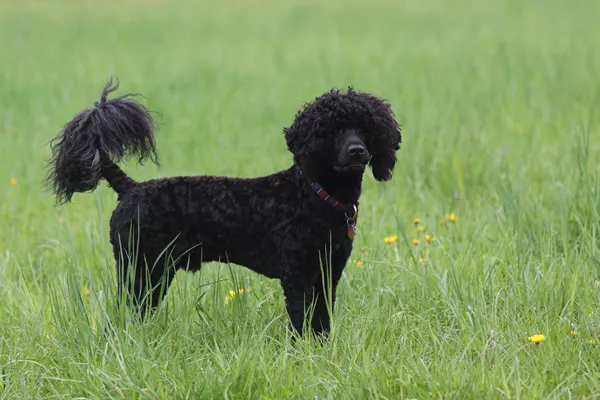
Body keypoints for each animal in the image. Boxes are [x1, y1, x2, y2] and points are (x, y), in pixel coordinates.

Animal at [48, 78, 404, 334]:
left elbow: (322, 322)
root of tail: (130, 187)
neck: (315, 195)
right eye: (332, 129)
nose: (358, 151)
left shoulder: (327, 274)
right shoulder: (298, 276)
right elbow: (302, 321)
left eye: (366, 128)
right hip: (142, 269)